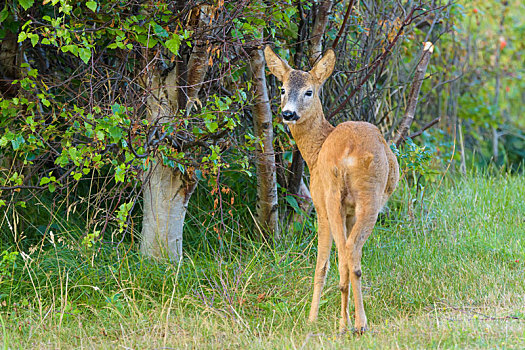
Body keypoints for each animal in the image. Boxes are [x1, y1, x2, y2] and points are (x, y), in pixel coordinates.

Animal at [264, 45, 400, 334]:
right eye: (282, 89)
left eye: (309, 91)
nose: (288, 114)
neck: (315, 150)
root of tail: (347, 153)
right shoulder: (344, 211)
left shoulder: (318, 203)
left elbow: (321, 265)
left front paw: (311, 318)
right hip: (357, 198)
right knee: (349, 253)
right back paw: (350, 323)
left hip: (341, 197)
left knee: (346, 254)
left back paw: (353, 323)